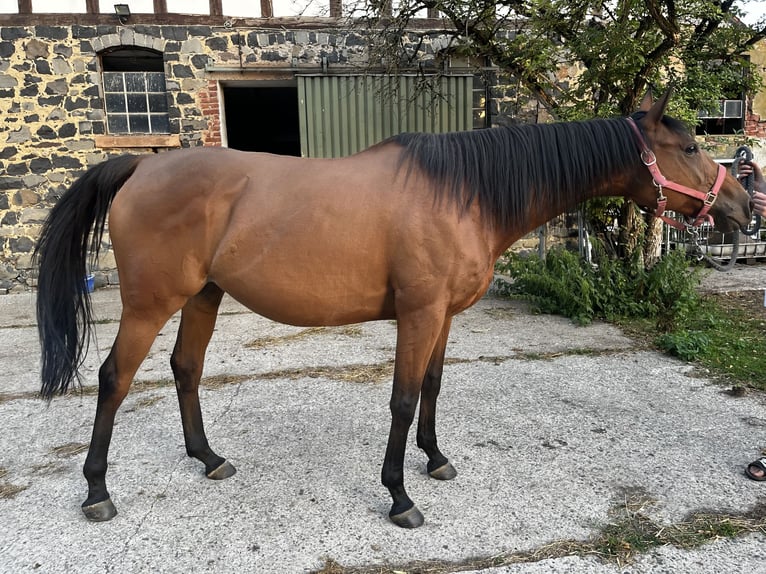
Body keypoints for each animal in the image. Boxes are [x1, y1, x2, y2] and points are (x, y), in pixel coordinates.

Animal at [34, 91, 751, 528]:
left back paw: (208, 458)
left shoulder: (445, 316)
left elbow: (432, 386)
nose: (744, 205)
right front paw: (400, 495)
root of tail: (139, 167)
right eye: (689, 147)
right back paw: (97, 492)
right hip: (150, 303)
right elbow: (403, 399)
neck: (465, 192)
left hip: (204, 295)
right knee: (114, 380)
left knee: (186, 368)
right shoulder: (420, 312)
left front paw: (435, 461)